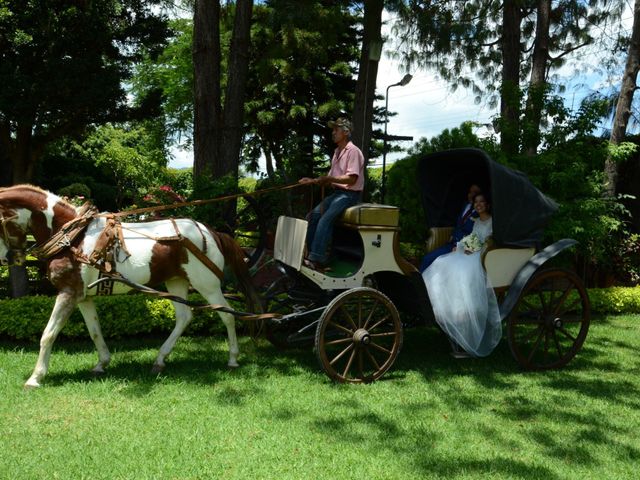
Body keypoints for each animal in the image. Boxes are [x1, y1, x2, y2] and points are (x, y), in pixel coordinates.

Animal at [0, 186, 262, 388]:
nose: (6, 259)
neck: (73, 238)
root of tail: (211, 232)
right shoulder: (82, 295)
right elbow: (95, 331)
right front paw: (102, 363)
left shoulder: (68, 292)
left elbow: (48, 334)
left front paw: (35, 378)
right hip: (176, 282)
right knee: (184, 317)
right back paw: (160, 359)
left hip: (207, 284)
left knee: (228, 316)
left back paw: (233, 359)